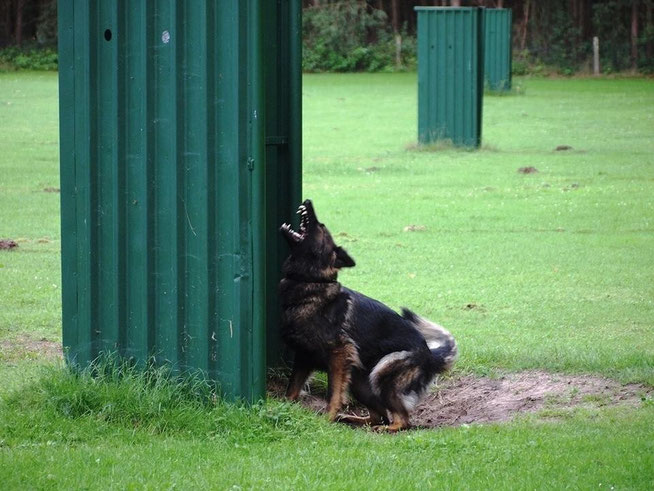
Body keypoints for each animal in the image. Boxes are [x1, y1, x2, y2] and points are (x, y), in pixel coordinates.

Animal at [280, 200, 458, 430]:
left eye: (320, 226)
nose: (308, 201)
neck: (310, 281)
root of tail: (429, 354)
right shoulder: (304, 356)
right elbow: (292, 388)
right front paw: (285, 407)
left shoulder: (339, 354)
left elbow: (333, 393)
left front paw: (327, 419)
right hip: (358, 382)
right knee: (379, 415)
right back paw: (354, 420)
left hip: (381, 373)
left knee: (401, 419)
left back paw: (384, 429)